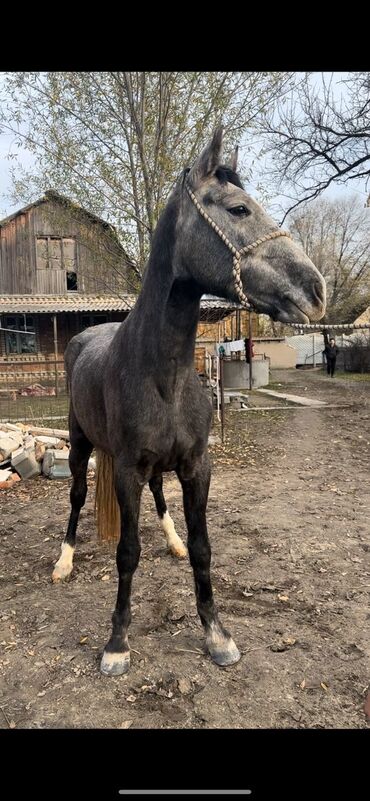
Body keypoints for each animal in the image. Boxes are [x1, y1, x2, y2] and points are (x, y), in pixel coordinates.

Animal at [52, 126, 326, 676]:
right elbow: (128, 552)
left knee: (161, 496)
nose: (316, 290)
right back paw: (64, 561)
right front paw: (117, 643)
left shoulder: (197, 465)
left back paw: (172, 540)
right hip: (78, 446)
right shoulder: (127, 470)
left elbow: (203, 548)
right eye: (238, 209)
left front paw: (217, 635)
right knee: (75, 498)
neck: (166, 375)